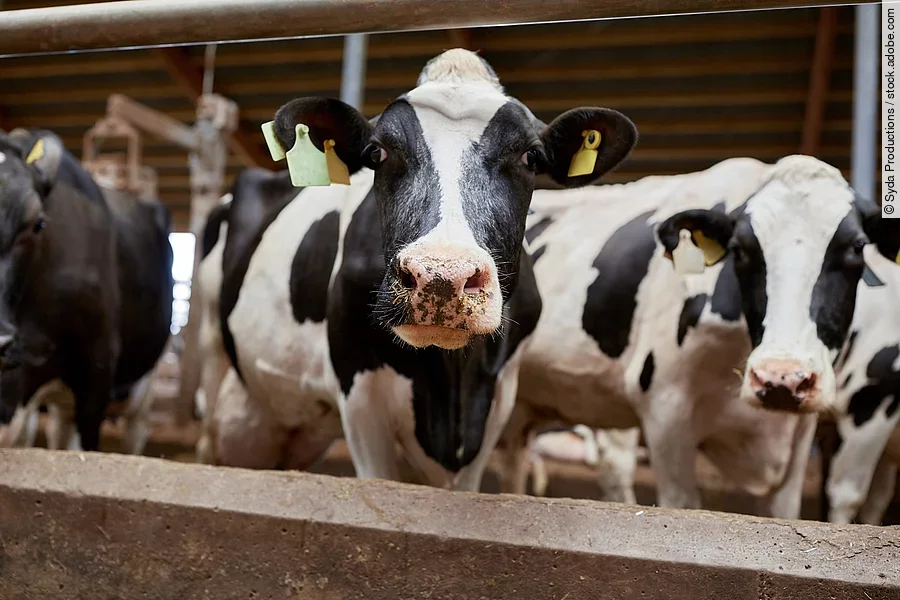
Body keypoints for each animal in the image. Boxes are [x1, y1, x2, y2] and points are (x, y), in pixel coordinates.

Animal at [206, 48, 637, 490]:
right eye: (377, 153)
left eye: (530, 156)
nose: (441, 277)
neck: (449, 381)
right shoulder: (358, 393)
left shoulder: (497, 397)